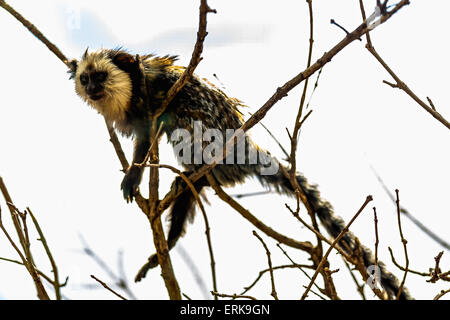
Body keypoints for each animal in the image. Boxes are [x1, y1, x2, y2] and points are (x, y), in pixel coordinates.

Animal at [69, 48, 412, 300]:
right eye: (85, 78)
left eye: (100, 76)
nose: (92, 88)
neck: (131, 95)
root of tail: (245, 149)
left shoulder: (154, 91)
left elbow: (161, 114)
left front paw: (134, 175)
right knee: (188, 191)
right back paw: (174, 227)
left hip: (216, 139)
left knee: (187, 117)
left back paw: (194, 173)